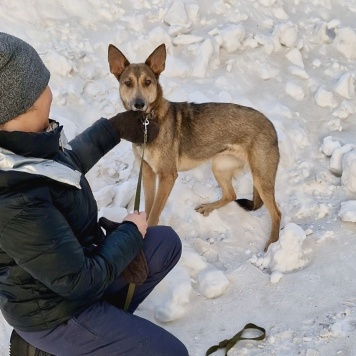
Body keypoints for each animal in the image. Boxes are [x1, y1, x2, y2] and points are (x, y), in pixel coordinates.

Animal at [108, 42, 280, 250]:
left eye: (148, 82)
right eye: (128, 83)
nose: (139, 104)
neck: (147, 123)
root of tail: (271, 125)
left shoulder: (167, 176)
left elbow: (155, 212)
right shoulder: (148, 172)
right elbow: (148, 208)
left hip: (261, 178)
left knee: (277, 214)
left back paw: (272, 244)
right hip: (220, 166)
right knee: (231, 194)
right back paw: (208, 207)